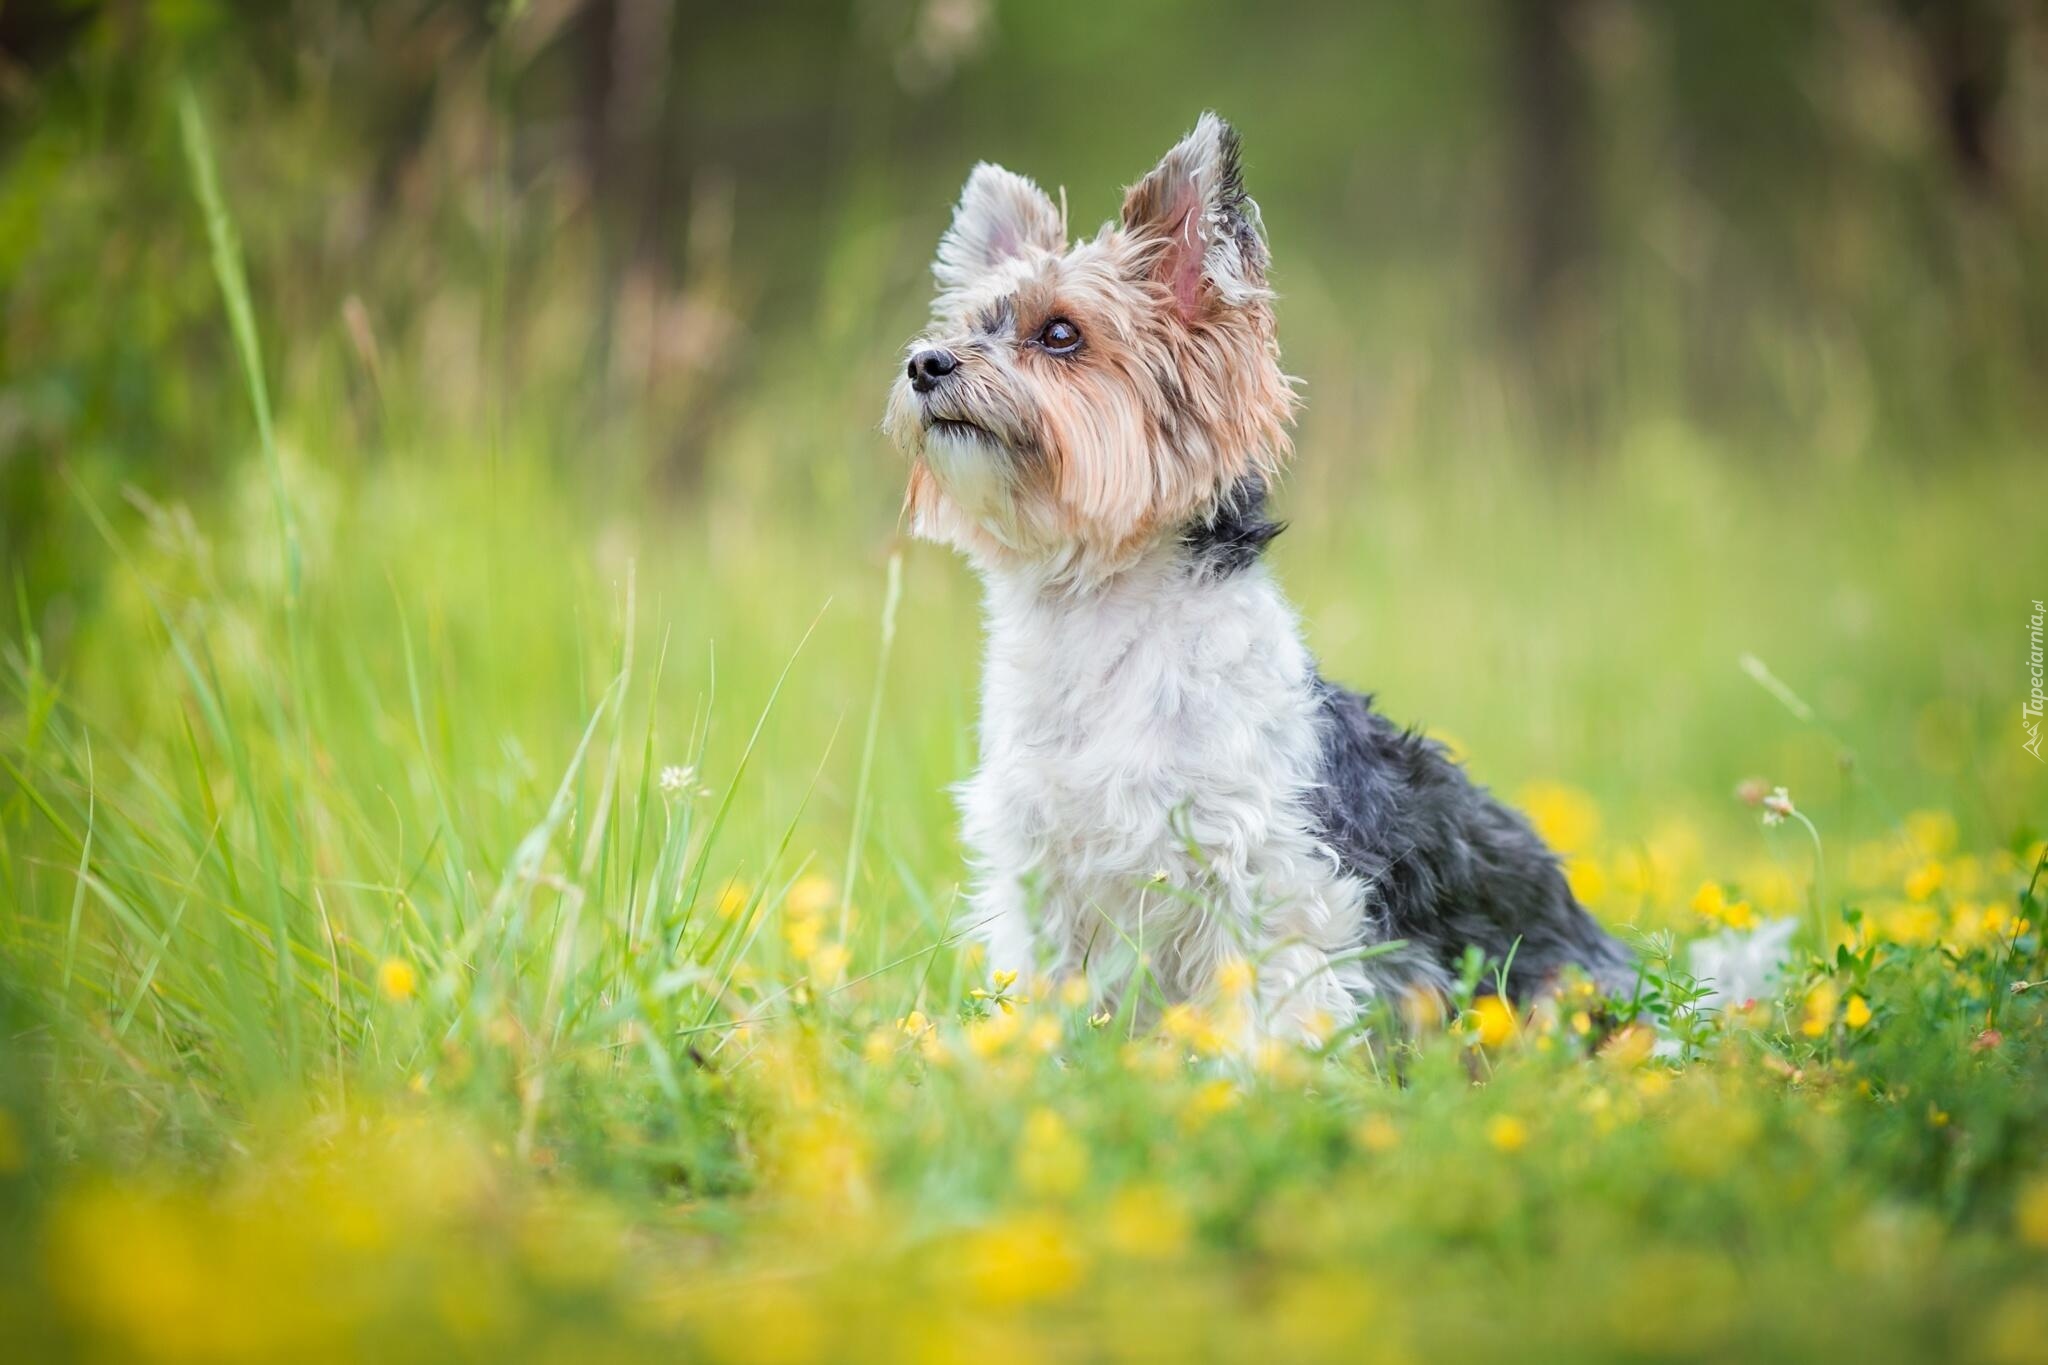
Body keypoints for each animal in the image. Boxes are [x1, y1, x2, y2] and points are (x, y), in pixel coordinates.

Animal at [884, 117, 1630, 1039]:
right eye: (965, 324)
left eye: (1060, 334)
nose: (925, 363)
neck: (1097, 615)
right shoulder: (1044, 879)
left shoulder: (1274, 878)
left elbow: (1271, 1015)